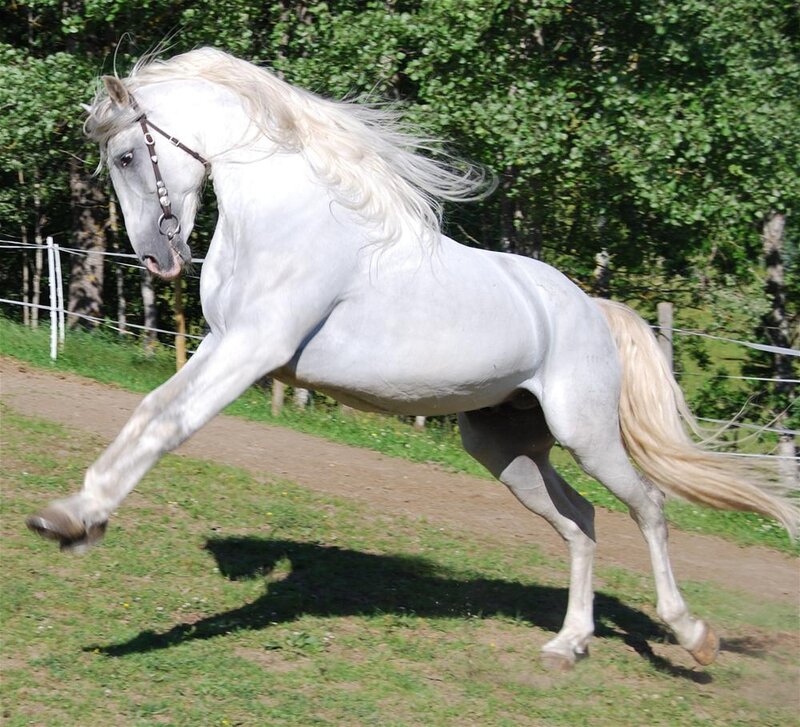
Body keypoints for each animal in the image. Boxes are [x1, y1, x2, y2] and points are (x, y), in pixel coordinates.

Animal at [27, 48, 797, 671]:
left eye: (128, 157)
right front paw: (74, 520)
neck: (287, 219)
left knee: (649, 507)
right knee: (582, 520)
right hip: (506, 449)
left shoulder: (249, 348)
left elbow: (163, 419)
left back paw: (693, 636)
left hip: (588, 435)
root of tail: (588, 308)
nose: (158, 259)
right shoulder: (224, 343)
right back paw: (568, 643)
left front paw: (74, 517)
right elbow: (149, 412)